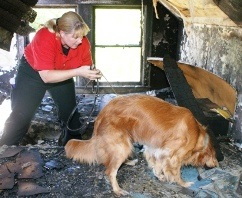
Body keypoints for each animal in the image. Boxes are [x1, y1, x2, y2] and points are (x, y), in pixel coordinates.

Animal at [65, 94, 218, 196]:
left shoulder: (156, 148)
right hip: (122, 146)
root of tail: (100, 116)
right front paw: (183, 183)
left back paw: (129, 162)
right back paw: (118, 190)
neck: (198, 134)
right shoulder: (173, 156)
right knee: (110, 171)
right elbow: (175, 172)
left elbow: (157, 164)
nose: (214, 165)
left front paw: (159, 175)